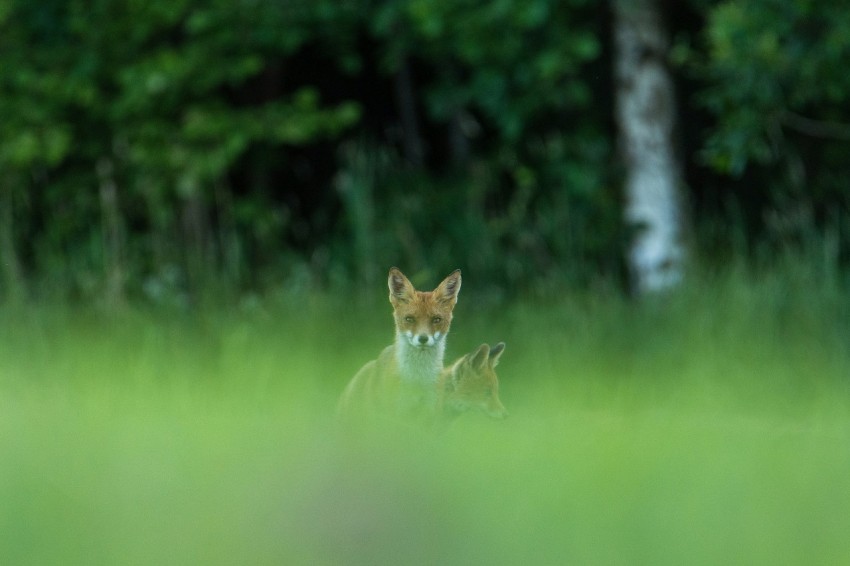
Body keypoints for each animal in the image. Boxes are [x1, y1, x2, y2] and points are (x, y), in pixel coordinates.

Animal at [337, 267, 462, 418]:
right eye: (409, 319)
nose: (423, 339)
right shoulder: (395, 413)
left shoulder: (430, 412)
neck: (417, 378)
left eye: (436, 320)